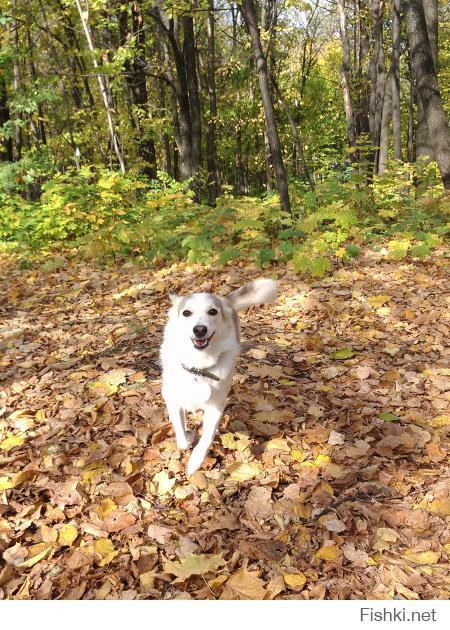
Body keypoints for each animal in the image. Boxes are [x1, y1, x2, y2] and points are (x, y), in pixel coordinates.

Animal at [160, 278, 276, 476]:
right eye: (186, 313)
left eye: (212, 311)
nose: (199, 329)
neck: (198, 366)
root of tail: (226, 299)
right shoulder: (172, 400)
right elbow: (181, 437)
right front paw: (188, 437)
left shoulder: (215, 407)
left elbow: (206, 438)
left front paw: (195, 462)